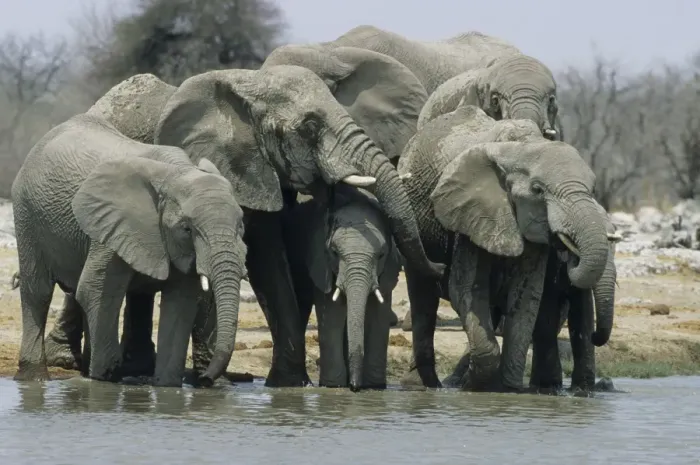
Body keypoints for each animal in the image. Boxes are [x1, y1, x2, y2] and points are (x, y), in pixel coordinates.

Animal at [11, 112, 248, 387]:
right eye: (187, 229)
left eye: (241, 225)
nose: (207, 380)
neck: (176, 173)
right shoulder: (112, 225)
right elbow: (95, 289)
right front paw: (105, 380)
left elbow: (180, 304)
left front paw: (167, 388)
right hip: (27, 213)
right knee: (38, 292)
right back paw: (36, 378)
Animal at [282, 184, 401, 391]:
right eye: (335, 252)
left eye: (381, 255)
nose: (355, 387)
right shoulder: (321, 261)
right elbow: (332, 314)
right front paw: (333, 386)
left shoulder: (387, 270)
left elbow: (378, 317)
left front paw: (375, 386)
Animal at [396, 104, 616, 391]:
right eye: (538, 190)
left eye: (592, 189)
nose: (569, 249)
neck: (521, 148)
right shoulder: (469, 215)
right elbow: (468, 289)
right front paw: (477, 386)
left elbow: (526, 297)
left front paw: (508, 389)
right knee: (423, 298)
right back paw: (421, 386)